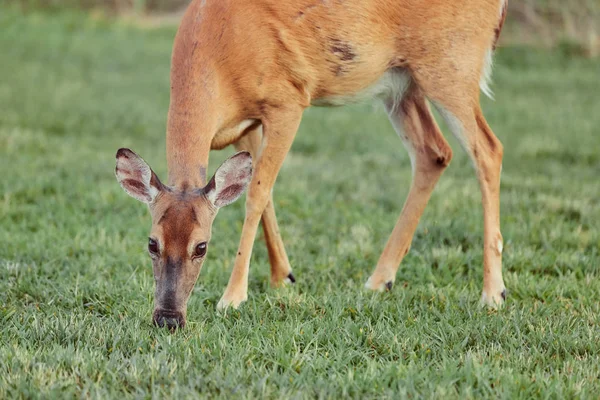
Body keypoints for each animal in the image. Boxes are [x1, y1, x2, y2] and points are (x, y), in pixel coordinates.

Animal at [115, 0, 508, 332]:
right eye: (152, 243)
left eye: (202, 246)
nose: (168, 318)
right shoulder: (247, 125)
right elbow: (264, 194)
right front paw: (283, 277)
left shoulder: (287, 101)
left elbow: (256, 195)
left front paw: (233, 297)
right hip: (402, 84)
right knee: (434, 152)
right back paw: (379, 280)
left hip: (452, 66)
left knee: (489, 149)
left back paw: (493, 294)